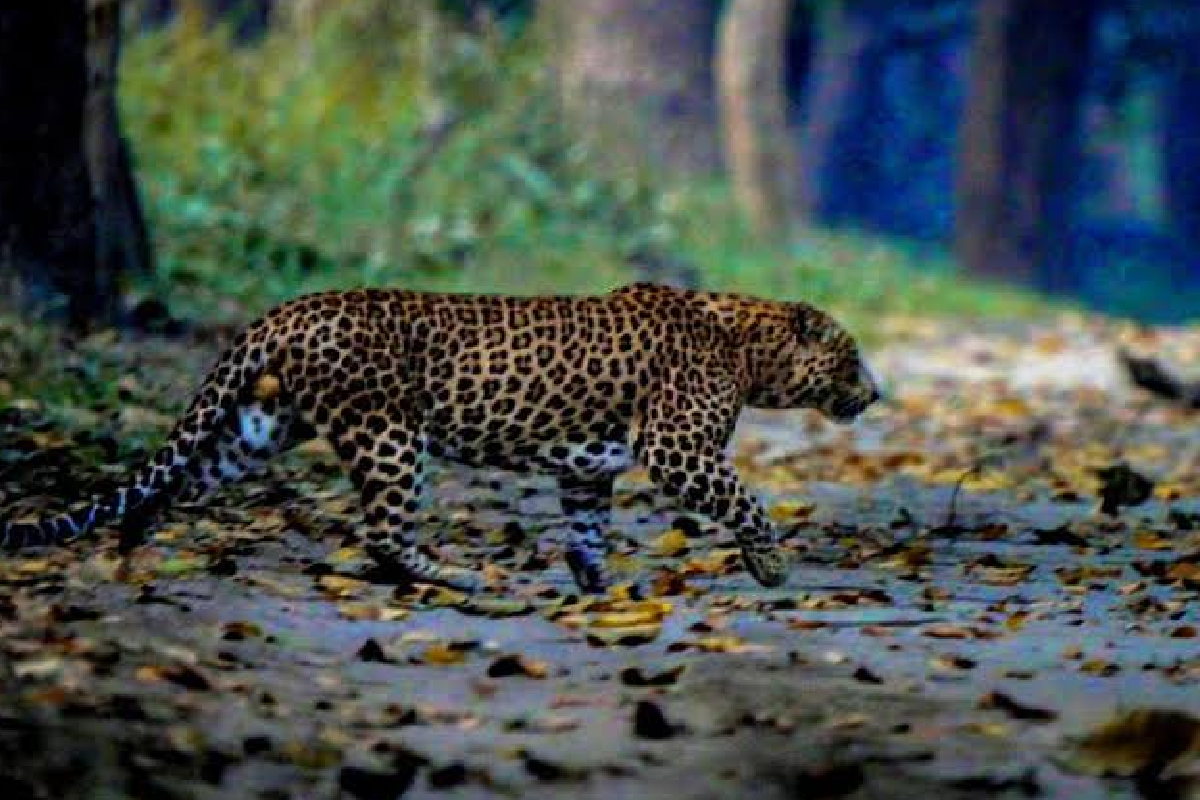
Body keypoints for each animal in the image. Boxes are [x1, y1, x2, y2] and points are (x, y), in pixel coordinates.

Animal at [0, 283, 880, 594]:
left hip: (257, 426)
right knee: (384, 534)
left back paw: (131, 548)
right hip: (389, 433)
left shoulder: (588, 468)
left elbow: (587, 525)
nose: (874, 393)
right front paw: (772, 567)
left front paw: (594, 583)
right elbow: (747, 501)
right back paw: (458, 577)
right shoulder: (678, 449)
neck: (748, 346)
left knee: (177, 477)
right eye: (850, 355)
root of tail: (283, 312)